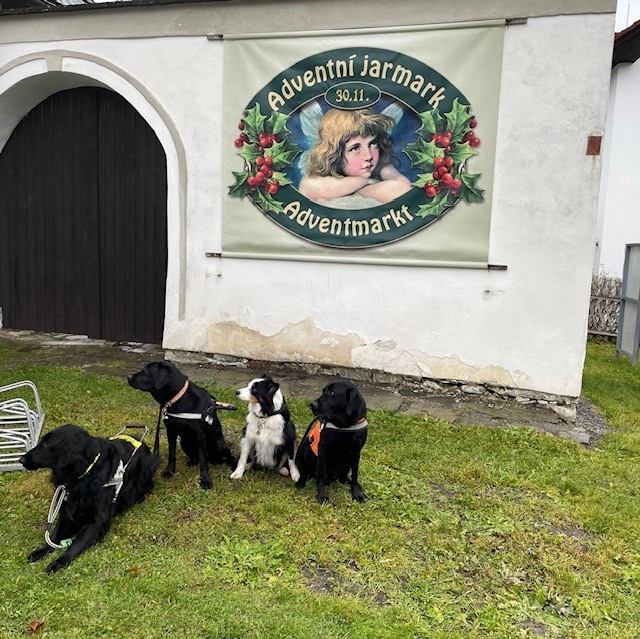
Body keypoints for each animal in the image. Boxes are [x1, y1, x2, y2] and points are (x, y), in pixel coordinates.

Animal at [19, 423, 159, 574]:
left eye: (48, 443)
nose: (21, 460)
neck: (85, 473)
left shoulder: (96, 521)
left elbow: (77, 542)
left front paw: (59, 562)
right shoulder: (67, 508)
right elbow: (54, 536)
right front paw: (42, 551)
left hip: (149, 465)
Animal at [127, 361, 236, 490]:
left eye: (145, 371)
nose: (128, 376)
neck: (178, 399)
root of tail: (214, 459)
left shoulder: (200, 436)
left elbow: (203, 461)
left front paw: (205, 480)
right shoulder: (171, 431)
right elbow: (172, 454)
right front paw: (169, 471)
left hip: (218, 443)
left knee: (228, 456)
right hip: (184, 442)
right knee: (196, 457)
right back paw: (192, 462)